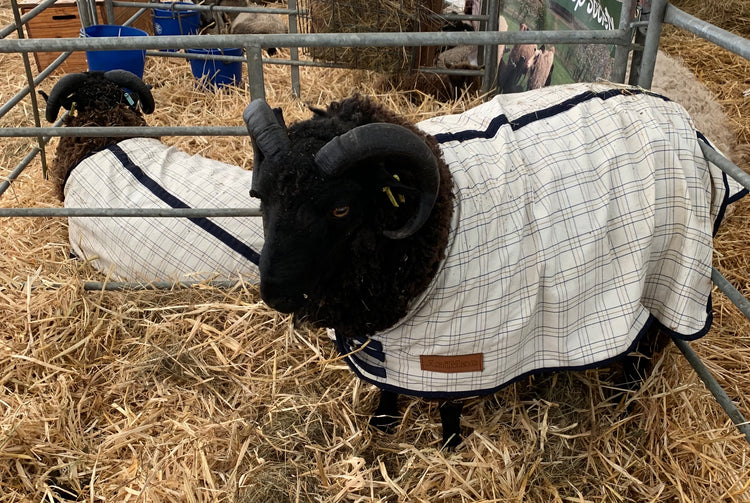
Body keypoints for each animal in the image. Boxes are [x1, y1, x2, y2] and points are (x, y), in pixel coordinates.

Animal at [243, 82, 747, 447]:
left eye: (341, 208)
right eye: (260, 195)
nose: (274, 292)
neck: (441, 219)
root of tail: (681, 117)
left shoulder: (458, 348)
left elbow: (448, 404)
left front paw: (450, 445)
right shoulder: (394, 343)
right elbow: (387, 387)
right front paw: (382, 426)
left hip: (671, 269)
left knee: (649, 344)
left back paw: (622, 404)